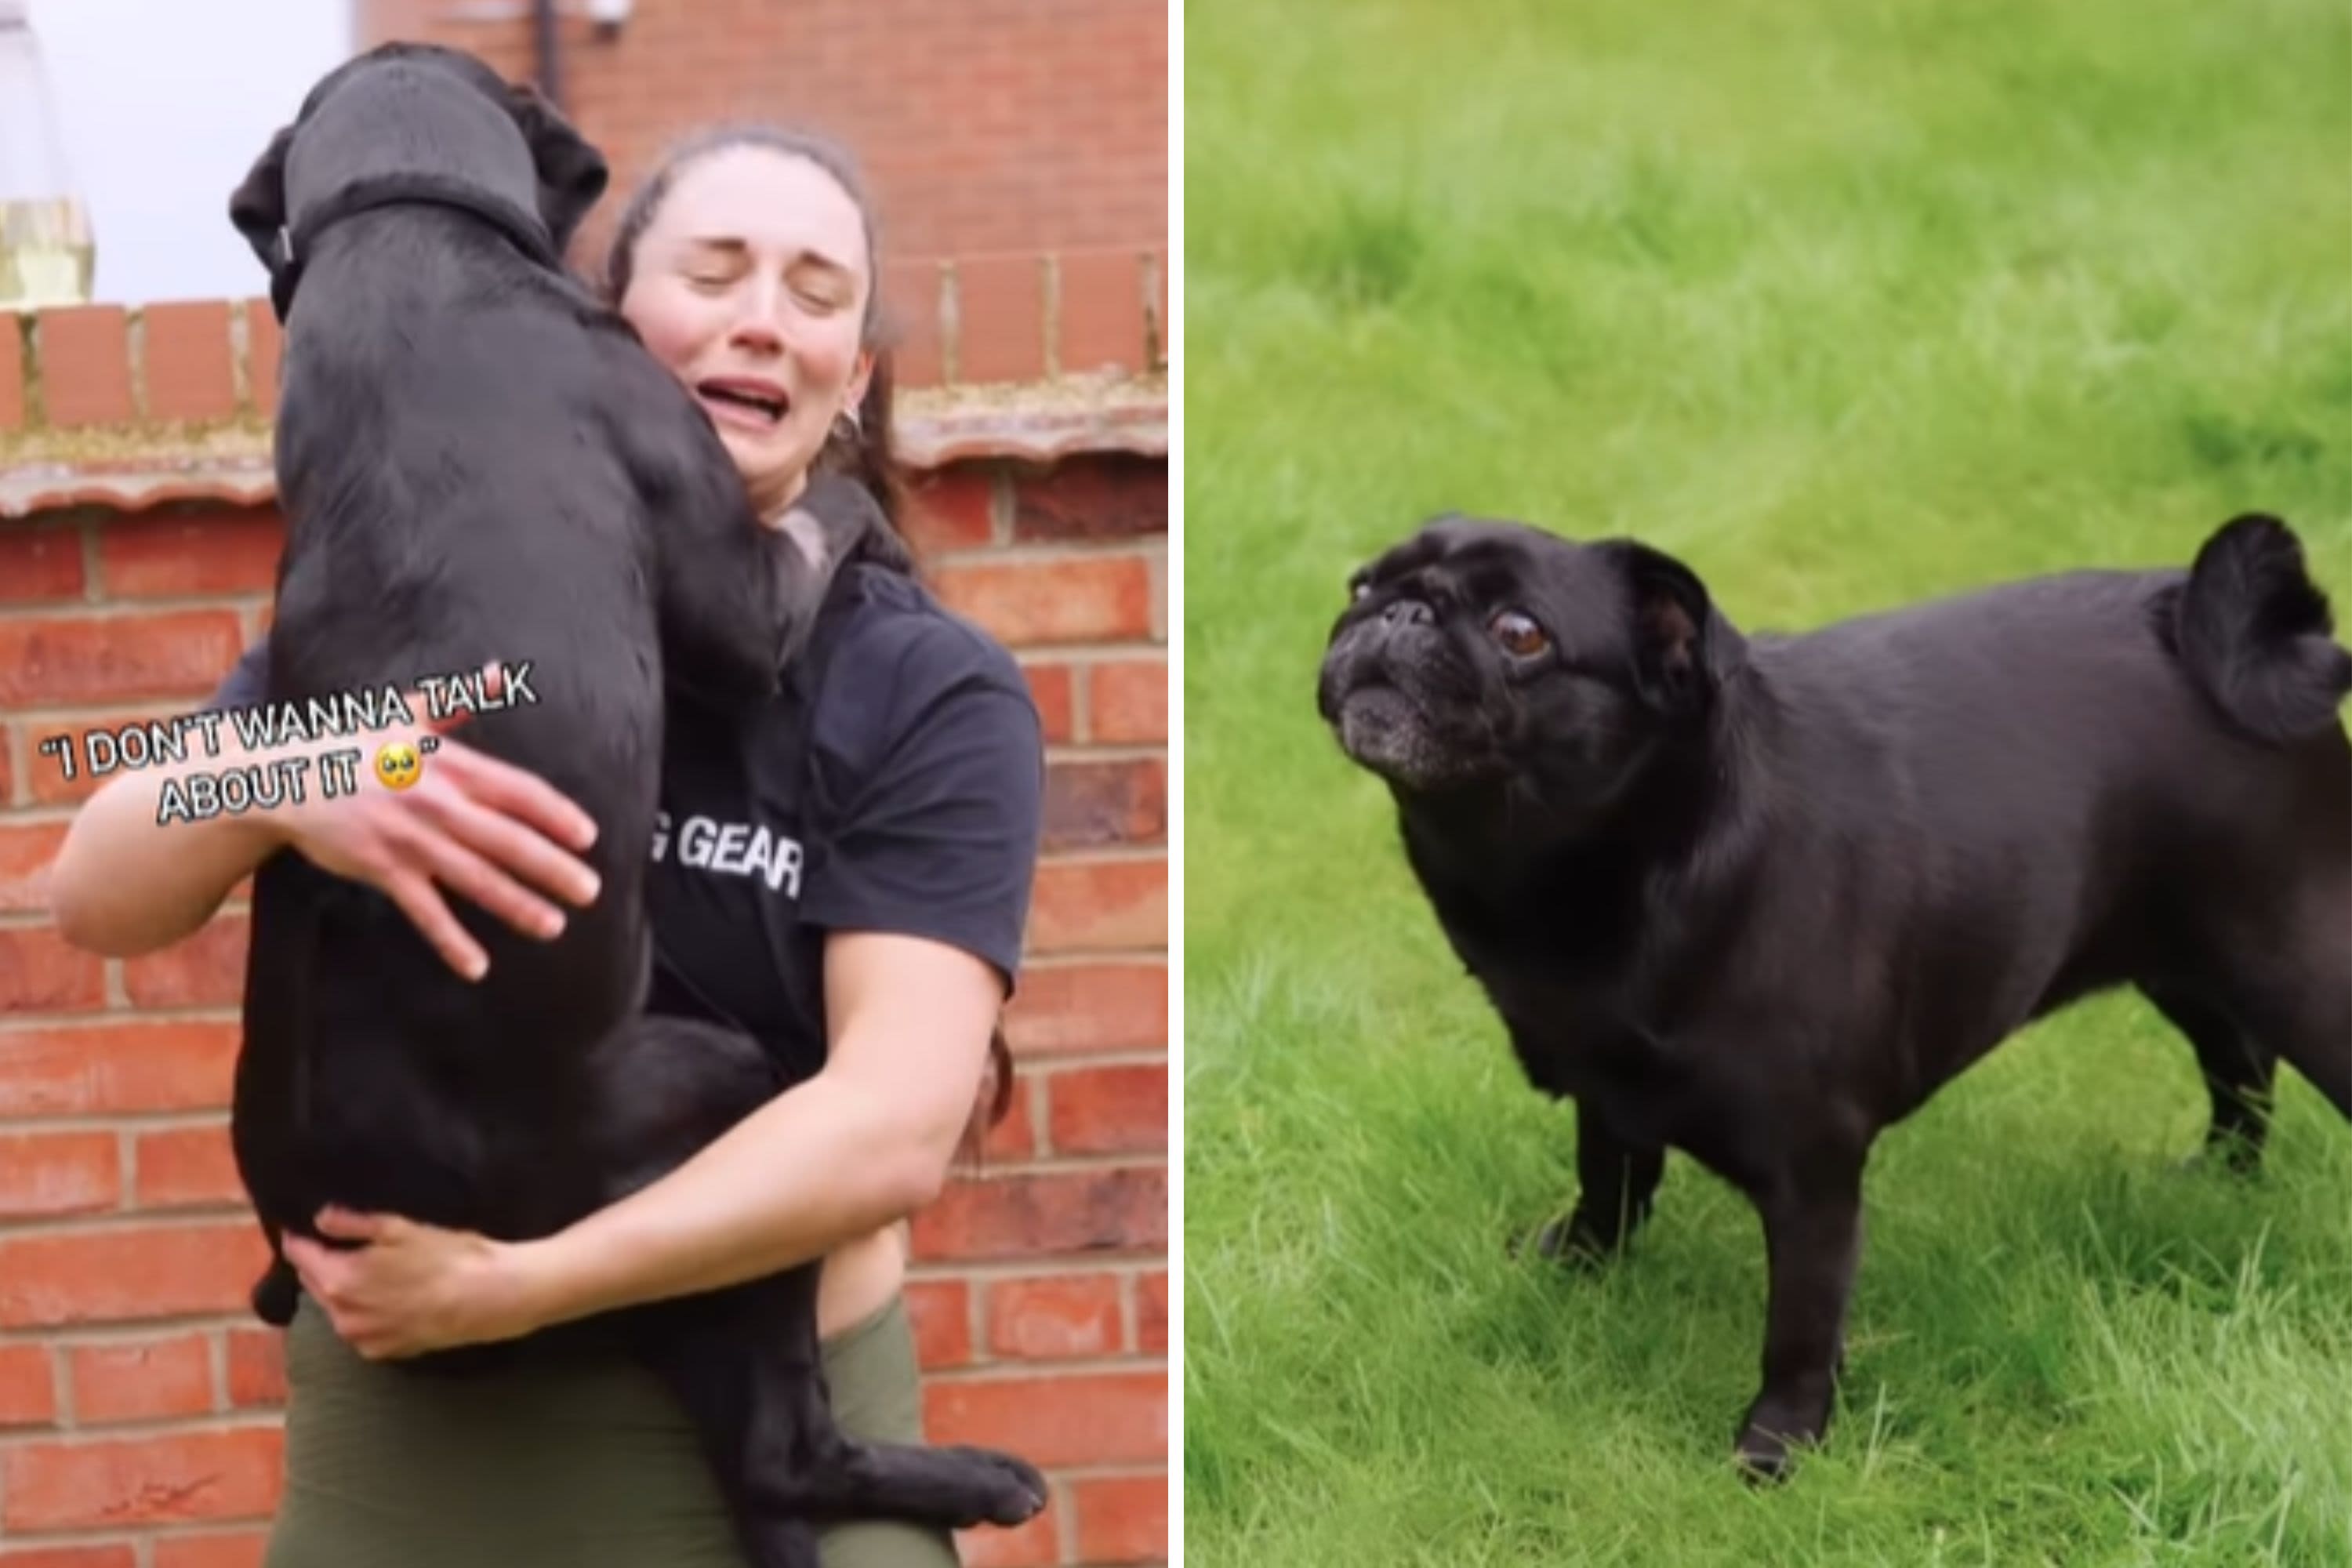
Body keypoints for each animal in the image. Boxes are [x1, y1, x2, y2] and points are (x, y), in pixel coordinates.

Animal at [222, 42, 1049, 1561]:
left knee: (769, 1464)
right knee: (790, 1451)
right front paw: (885, 529)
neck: (406, 230)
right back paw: (981, 1478)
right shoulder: (746, 597)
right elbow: (826, 515)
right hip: (724, 1097)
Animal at [1327, 510, 2352, 1476]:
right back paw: (2223, 1174)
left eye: (1521, 632)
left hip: (2298, 965)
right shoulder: (1608, 1093)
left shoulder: (1811, 1170)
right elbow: (1609, 1183)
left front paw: (1778, 1446)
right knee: (2238, 1060)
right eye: (1361, 583)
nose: (1399, 612)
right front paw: (1577, 1267)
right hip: (2184, 956)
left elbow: (1801, 1321)